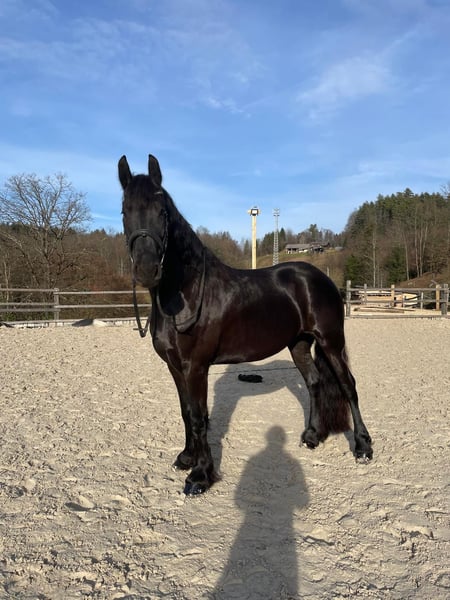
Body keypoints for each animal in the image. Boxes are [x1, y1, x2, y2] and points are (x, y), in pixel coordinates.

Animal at [118, 154, 373, 495]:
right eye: (125, 211)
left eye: (162, 211)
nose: (147, 270)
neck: (186, 292)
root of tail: (320, 278)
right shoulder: (174, 366)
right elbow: (186, 413)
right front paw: (186, 458)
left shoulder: (196, 366)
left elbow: (199, 416)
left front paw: (200, 476)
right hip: (299, 344)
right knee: (315, 382)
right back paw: (312, 436)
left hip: (331, 341)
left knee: (348, 386)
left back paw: (363, 447)